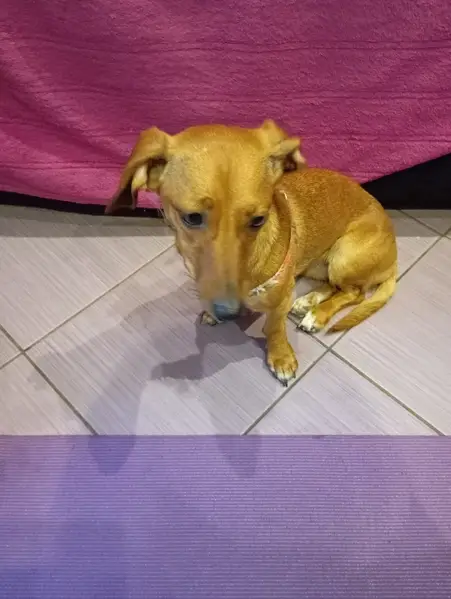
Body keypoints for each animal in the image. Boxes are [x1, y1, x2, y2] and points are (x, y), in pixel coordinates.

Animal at [106, 121, 397, 386]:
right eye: (191, 217)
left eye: (258, 220)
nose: (229, 312)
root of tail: (394, 257)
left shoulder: (280, 298)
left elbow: (275, 329)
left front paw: (281, 358)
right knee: (334, 286)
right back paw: (308, 301)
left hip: (344, 255)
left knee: (355, 293)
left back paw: (318, 314)